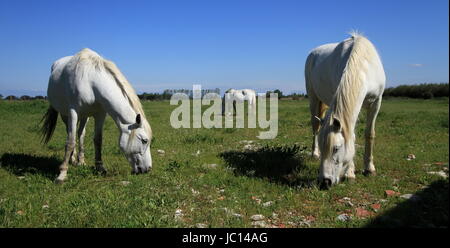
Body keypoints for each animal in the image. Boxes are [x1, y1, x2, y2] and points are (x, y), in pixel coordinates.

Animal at [40, 48, 153, 183]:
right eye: (144, 140)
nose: (148, 169)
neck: (90, 82)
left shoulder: (100, 114)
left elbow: (98, 140)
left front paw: (100, 168)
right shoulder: (73, 112)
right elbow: (70, 141)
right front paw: (62, 173)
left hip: (85, 116)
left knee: (81, 134)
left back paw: (81, 161)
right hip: (65, 115)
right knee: (71, 133)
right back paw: (72, 160)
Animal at [304, 32, 384, 188]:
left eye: (336, 148)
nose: (325, 182)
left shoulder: (376, 103)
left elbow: (369, 134)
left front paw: (369, 168)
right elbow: (351, 135)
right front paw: (350, 173)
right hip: (313, 98)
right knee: (315, 127)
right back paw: (314, 153)